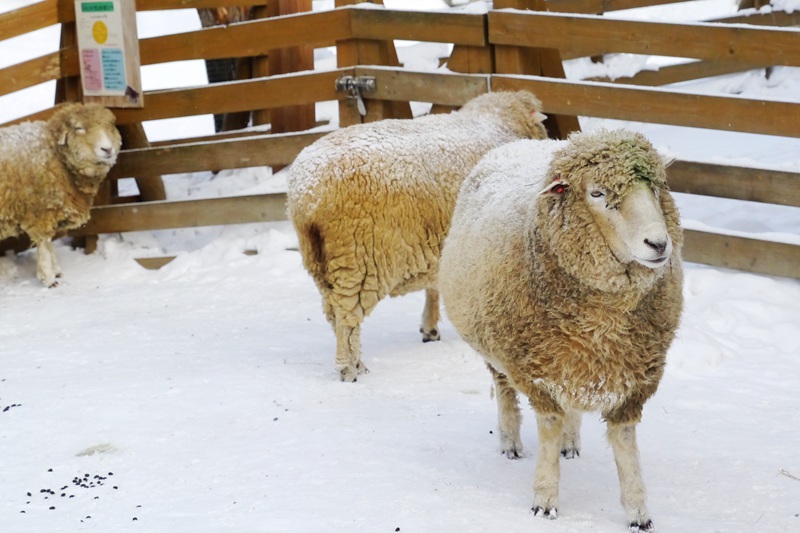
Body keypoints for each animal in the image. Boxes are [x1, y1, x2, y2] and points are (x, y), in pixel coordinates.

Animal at [0, 103, 122, 286]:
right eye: (79, 128)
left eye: (110, 125)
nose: (107, 149)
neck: (56, 154)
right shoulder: (40, 212)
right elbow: (44, 244)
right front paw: (48, 278)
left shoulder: (51, 211)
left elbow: (50, 245)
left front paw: (55, 271)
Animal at [288, 89, 552, 380]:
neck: (499, 121)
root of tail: (307, 197)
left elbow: (434, 287)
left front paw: (430, 328)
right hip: (357, 256)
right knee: (346, 315)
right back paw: (350, 368)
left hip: (319, 259)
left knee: (333, 313)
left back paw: (355, 361)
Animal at [440, 130, 684, 532]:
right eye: (597, 193)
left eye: (655, 187)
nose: (659, 244)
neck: (602, 321)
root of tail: (524, 141)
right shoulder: (535, 368)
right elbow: (550, 427)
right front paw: (545, 500)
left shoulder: (634, 376)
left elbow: (625, 442)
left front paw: (638, 511)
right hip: (495, 345)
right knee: (503, 390)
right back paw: (510, 441)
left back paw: (571, 442)